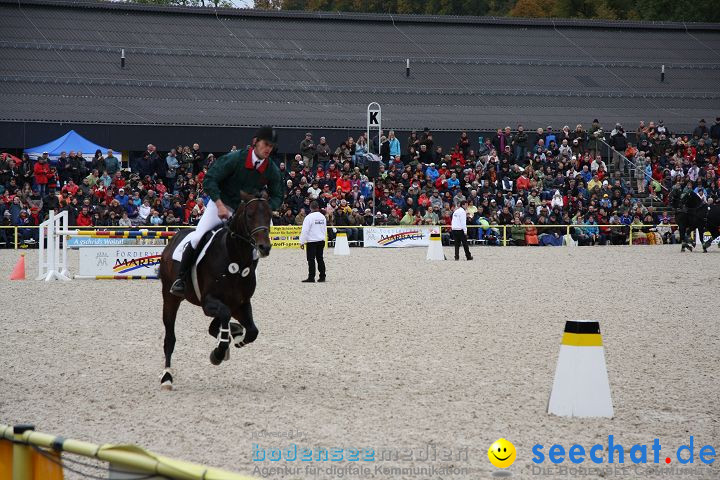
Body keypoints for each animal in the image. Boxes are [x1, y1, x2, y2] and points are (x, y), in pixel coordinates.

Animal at [159, 192, 272, 390]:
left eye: (270, 215)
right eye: (250, 215)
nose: (264, 247)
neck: (235, 257)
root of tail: (175, 236)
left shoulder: (240, 304)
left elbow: (252, 331)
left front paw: (236, 338)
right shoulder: (208, 302)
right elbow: (225, 316)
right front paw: (218, 352)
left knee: (217, 324)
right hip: (170, 298)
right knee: (170, 339)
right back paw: (167, 377)